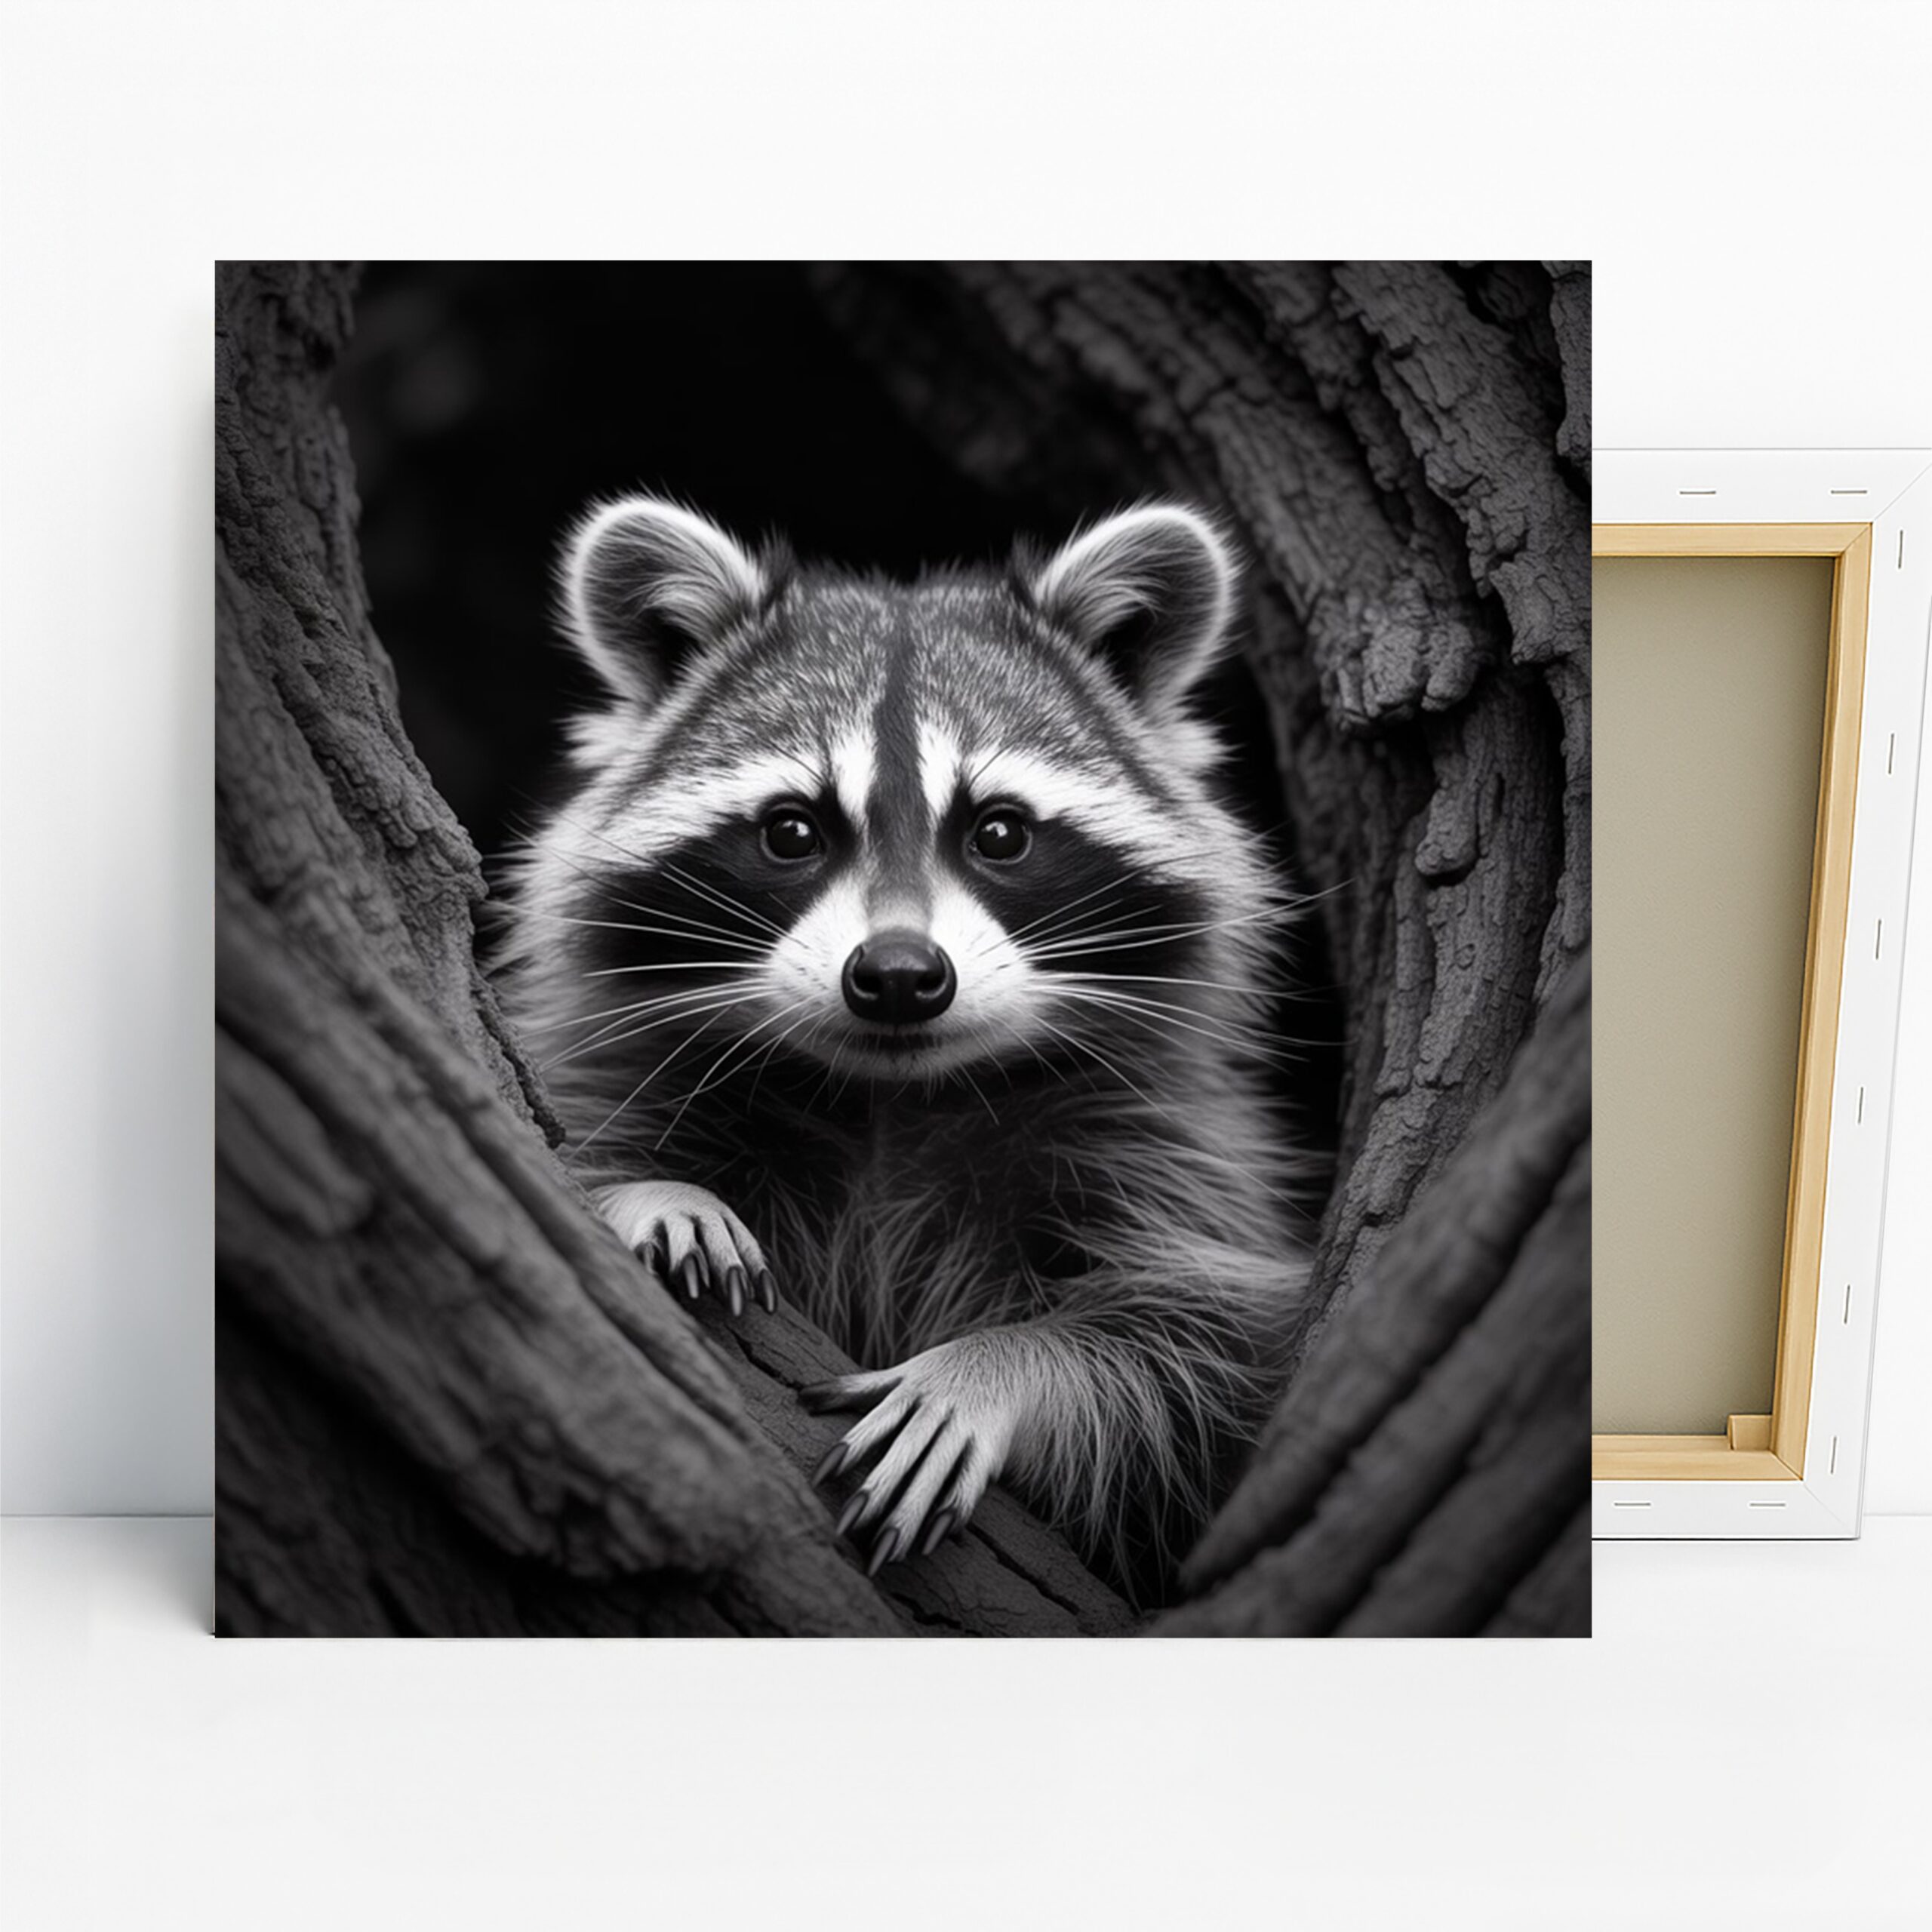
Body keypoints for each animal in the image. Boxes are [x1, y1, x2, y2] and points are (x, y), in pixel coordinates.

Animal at [503, 495, 1313, 1596]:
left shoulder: (1159, 1142)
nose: (896, 975)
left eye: (999, 832)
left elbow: (1205, 1348)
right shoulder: (615, 1061)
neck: (892, 1095)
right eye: (791, 831)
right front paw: (647, 1193)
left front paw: (993, 1368)